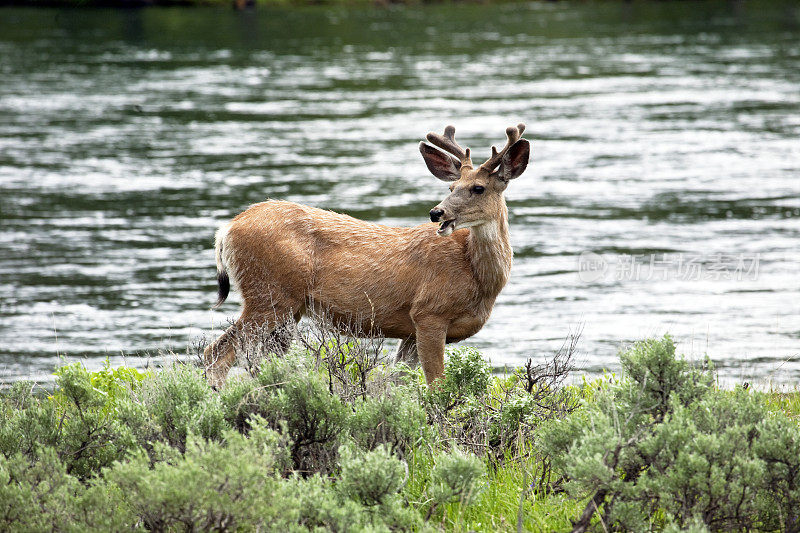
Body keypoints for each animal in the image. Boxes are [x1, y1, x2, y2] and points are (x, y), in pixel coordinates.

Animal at [203, 123, 532, 388]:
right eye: (451, 186)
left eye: (478, 188)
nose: (437, 212)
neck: (478, 279)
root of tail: (227, 230)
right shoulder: (429, 313)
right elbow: (436, 385)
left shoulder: (411, 331)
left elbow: (396, 381)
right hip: (268, 295)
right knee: (216, 352)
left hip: (286, 309)